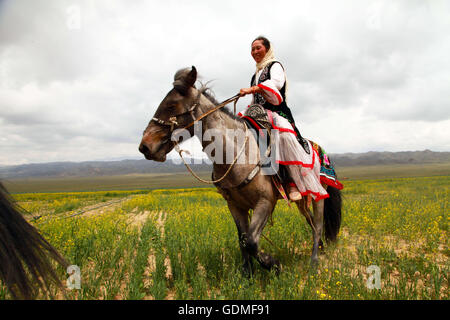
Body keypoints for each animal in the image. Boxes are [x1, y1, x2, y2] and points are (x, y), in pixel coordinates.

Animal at [138, 65, 342, 276]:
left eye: (171, 106)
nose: (145, 146)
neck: (236, 153)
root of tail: (320, 150)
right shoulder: (235, 205)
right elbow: (242, 239)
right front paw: (247, 273)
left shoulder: (265, 202)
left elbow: (251, 241)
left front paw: (273, 264)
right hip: (303, 199)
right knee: (311, 223)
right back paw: (320, 250)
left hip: (318, 195)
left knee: (318, 225)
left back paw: (314, 261)